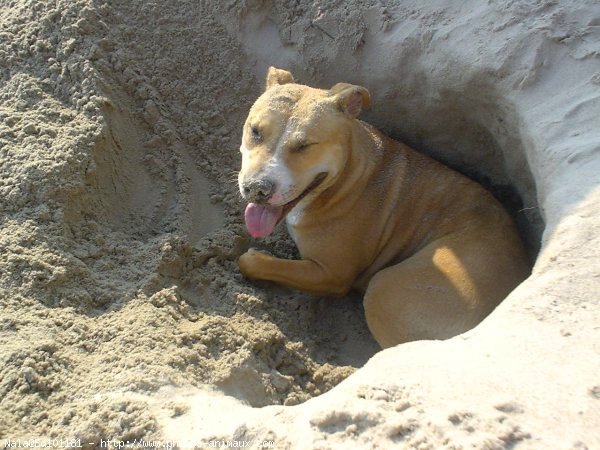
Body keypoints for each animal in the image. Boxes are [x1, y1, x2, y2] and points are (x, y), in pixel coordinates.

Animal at [237, 67, 528, 348]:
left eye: (305, 145)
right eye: (255, 131)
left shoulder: (331, 274)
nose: (257, 187)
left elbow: (254, 262)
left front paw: (256, 257)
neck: (347, 177)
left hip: (386, 290)